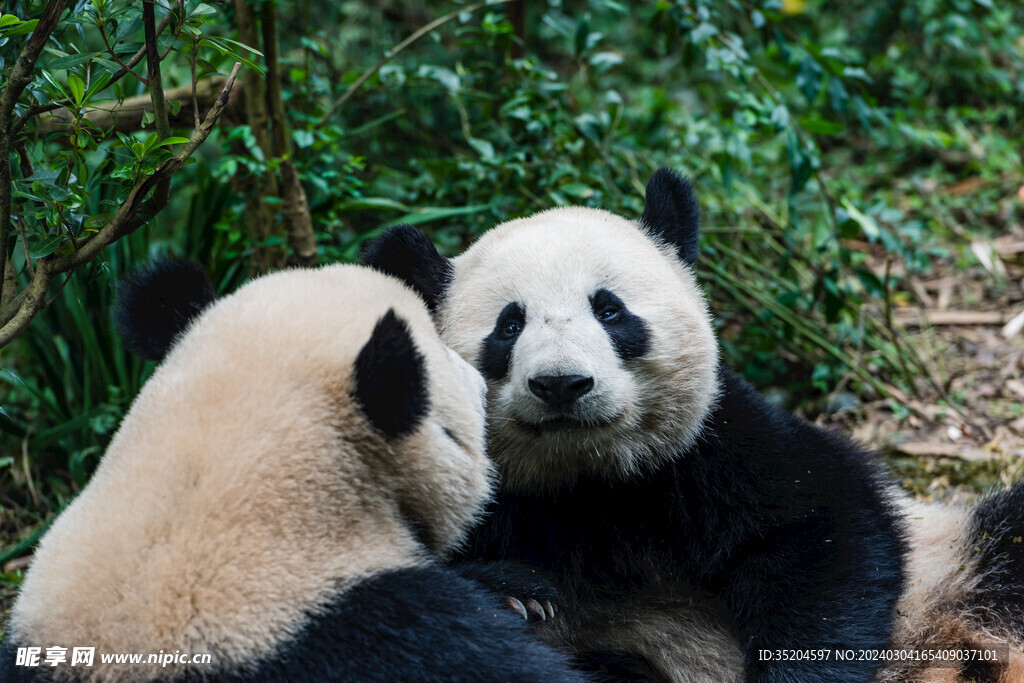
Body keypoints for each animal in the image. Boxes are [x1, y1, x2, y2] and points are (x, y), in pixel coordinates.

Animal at [368, 166, 1024, 683]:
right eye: (508, 326)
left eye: (609, 310)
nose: (561, 384)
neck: (584, 482)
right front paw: (517, 593)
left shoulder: (710, 446)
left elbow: (824, 531)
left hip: (953, 565)